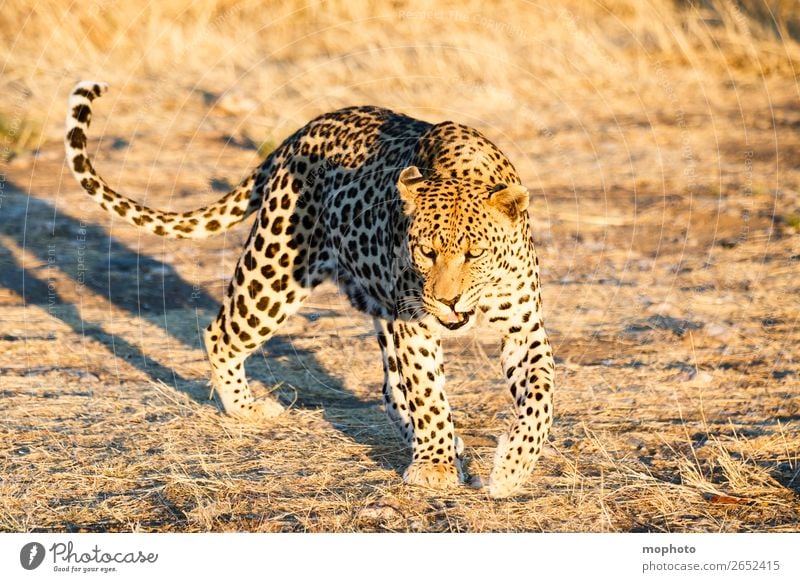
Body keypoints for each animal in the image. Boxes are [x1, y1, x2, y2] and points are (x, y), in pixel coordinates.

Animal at [65, 80, 556, 500]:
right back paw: (246, 409)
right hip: (278, 269)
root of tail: (303, 129)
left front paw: (511, 468)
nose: (447, 299)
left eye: (475, 253)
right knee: (221, 332)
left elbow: (540, 396)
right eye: (426, 251)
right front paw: (434, 467)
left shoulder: (523, 327)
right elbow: (429, 394)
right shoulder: (414, 324)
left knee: (390, 388)